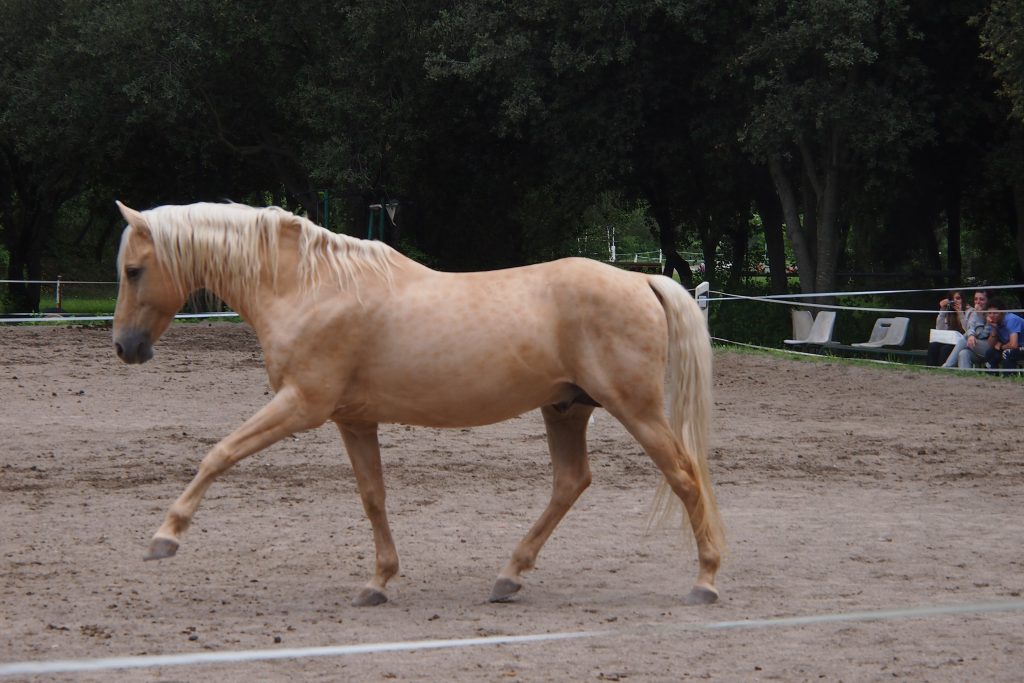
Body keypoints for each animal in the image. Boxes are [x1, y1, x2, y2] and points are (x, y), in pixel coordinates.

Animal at [111, 200, 725, 607]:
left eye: (133, 270)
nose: (125, 347)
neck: (310, 288)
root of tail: (642, 281)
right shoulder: (353, 421)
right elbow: (373, 497)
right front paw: (378, 581)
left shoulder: (301, 406)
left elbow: (219, 454)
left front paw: (165, 537)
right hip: (566, 410)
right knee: (571, 482)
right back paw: (509, 575)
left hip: (636, 409)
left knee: (684, 477)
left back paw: (705, 580)